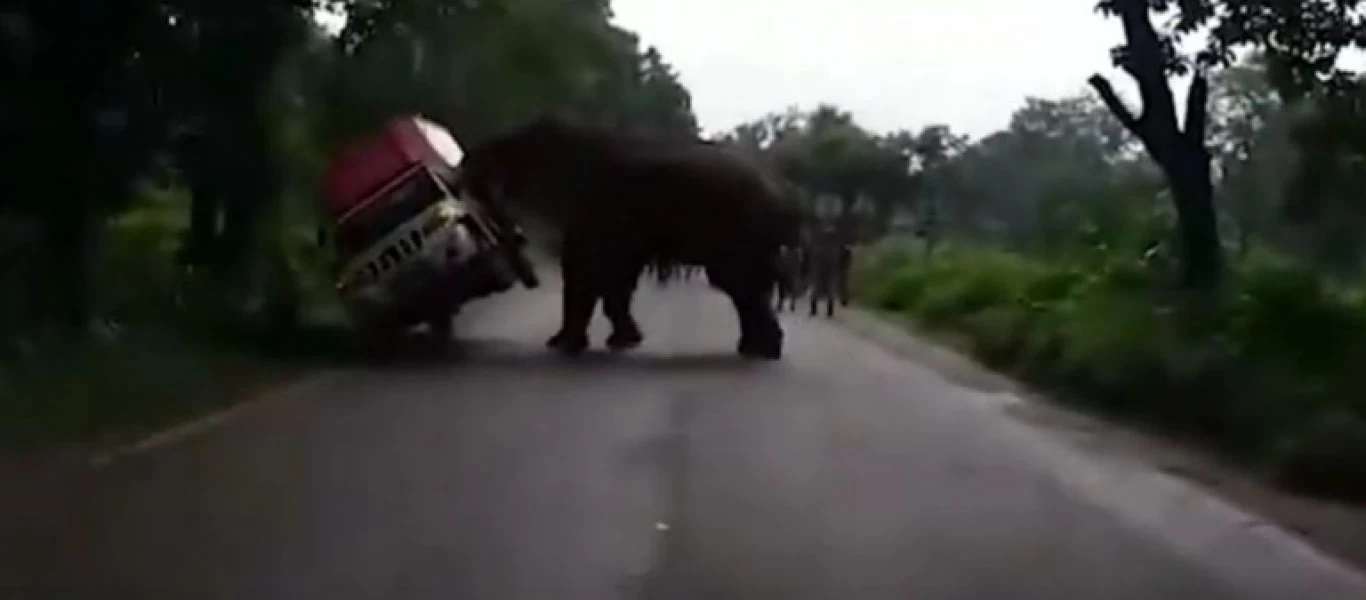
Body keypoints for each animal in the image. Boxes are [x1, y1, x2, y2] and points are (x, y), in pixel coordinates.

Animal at [456, 116, 797, 360]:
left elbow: (589, 269)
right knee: (745, 288)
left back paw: (763, 351)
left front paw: (562, 345)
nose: (460, 170)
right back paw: (756, 350)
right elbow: (610, 275)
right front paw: (621, 342)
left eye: (504, 157)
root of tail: (783, 194)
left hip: (743, 229)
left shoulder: (598, 210)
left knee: (741, 284)